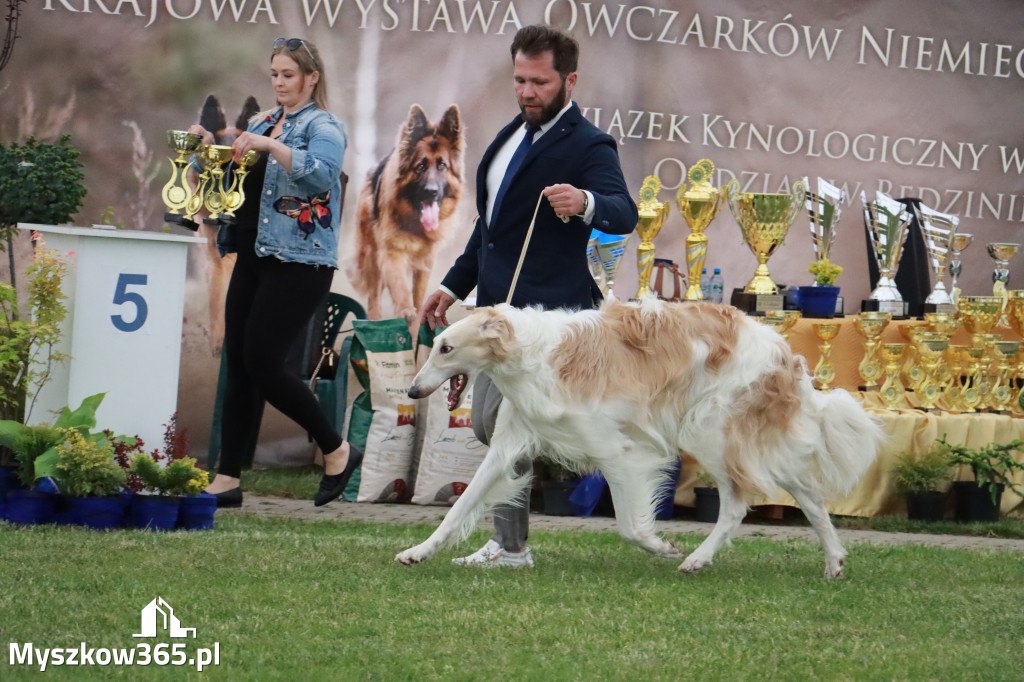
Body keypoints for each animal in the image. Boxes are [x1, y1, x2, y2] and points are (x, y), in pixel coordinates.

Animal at [395, 296, 884, 573]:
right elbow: (459, 508)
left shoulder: (619, 452)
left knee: (736, 504)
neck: (532, 353)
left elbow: (631, 526)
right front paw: (417, 552)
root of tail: (785, 352)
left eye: (446, 348)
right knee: (811, 499)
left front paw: (661, 545)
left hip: (709, 432)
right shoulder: (507, 448)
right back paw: (834, 561)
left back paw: (696, 559)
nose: (412, 390)